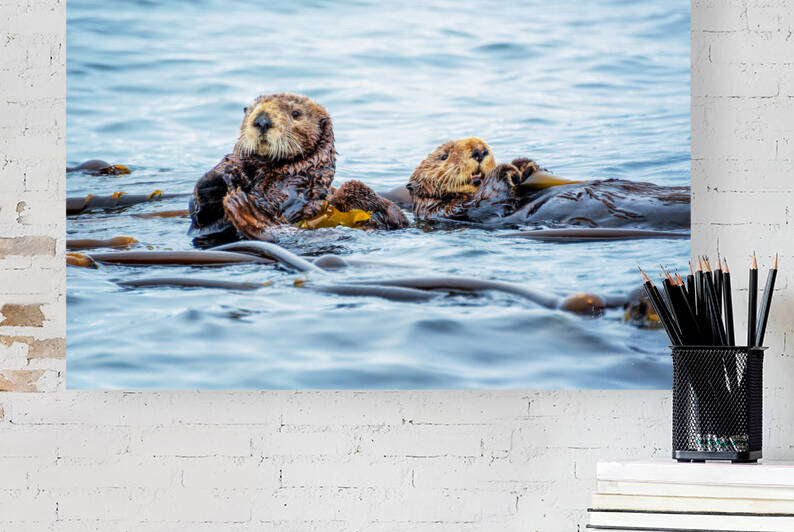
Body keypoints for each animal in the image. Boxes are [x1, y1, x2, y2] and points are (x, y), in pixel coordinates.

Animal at [189, 93, 407, 243]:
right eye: (251, 111)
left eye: (295, 114)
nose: (261, 120)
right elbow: (203, 222)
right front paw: (219, 175)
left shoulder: (297, 187)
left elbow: (275, 205)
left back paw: (243, 207)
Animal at [407, 139, 690, 230]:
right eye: (444, 156)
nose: (479, 149)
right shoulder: (455, 212)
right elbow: (489, 202)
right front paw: (507, 169)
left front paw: (525, 165)